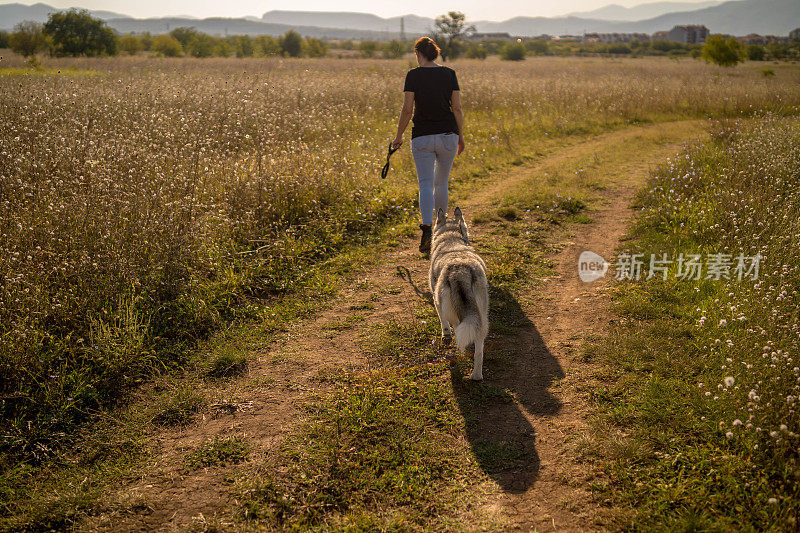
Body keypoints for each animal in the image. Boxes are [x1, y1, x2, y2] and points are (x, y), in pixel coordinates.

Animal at [428, 207, 490, 378]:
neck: (451, 238)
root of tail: (460, 271)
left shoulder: (437, 301)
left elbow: (443, 323)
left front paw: (445, 335)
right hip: (481, 315)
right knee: (479, 351)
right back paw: (476, 376)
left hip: (453, 312)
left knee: (456, 329)